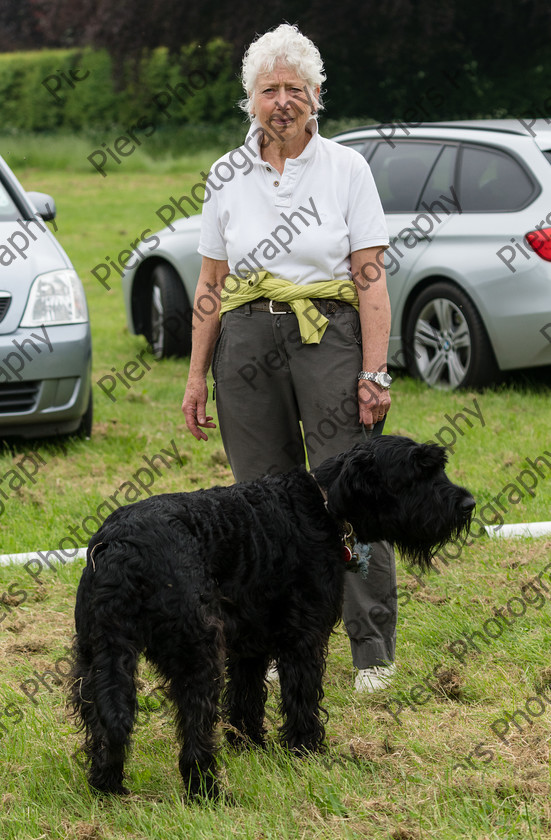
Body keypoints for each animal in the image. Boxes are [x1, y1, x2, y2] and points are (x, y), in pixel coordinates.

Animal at [69, 436, 474, 796]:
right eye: (418, 472)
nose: (469, 503)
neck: (323, 505)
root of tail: (120, 546)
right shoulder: (303, 636)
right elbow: (301, 693)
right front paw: (305, 747)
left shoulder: (250, 640)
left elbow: (246, 693)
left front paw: (248, 743)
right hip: (196, 653)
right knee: (194, 724)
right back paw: (206, 790)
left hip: (99, 657)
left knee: (111, 717)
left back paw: (107, 785)